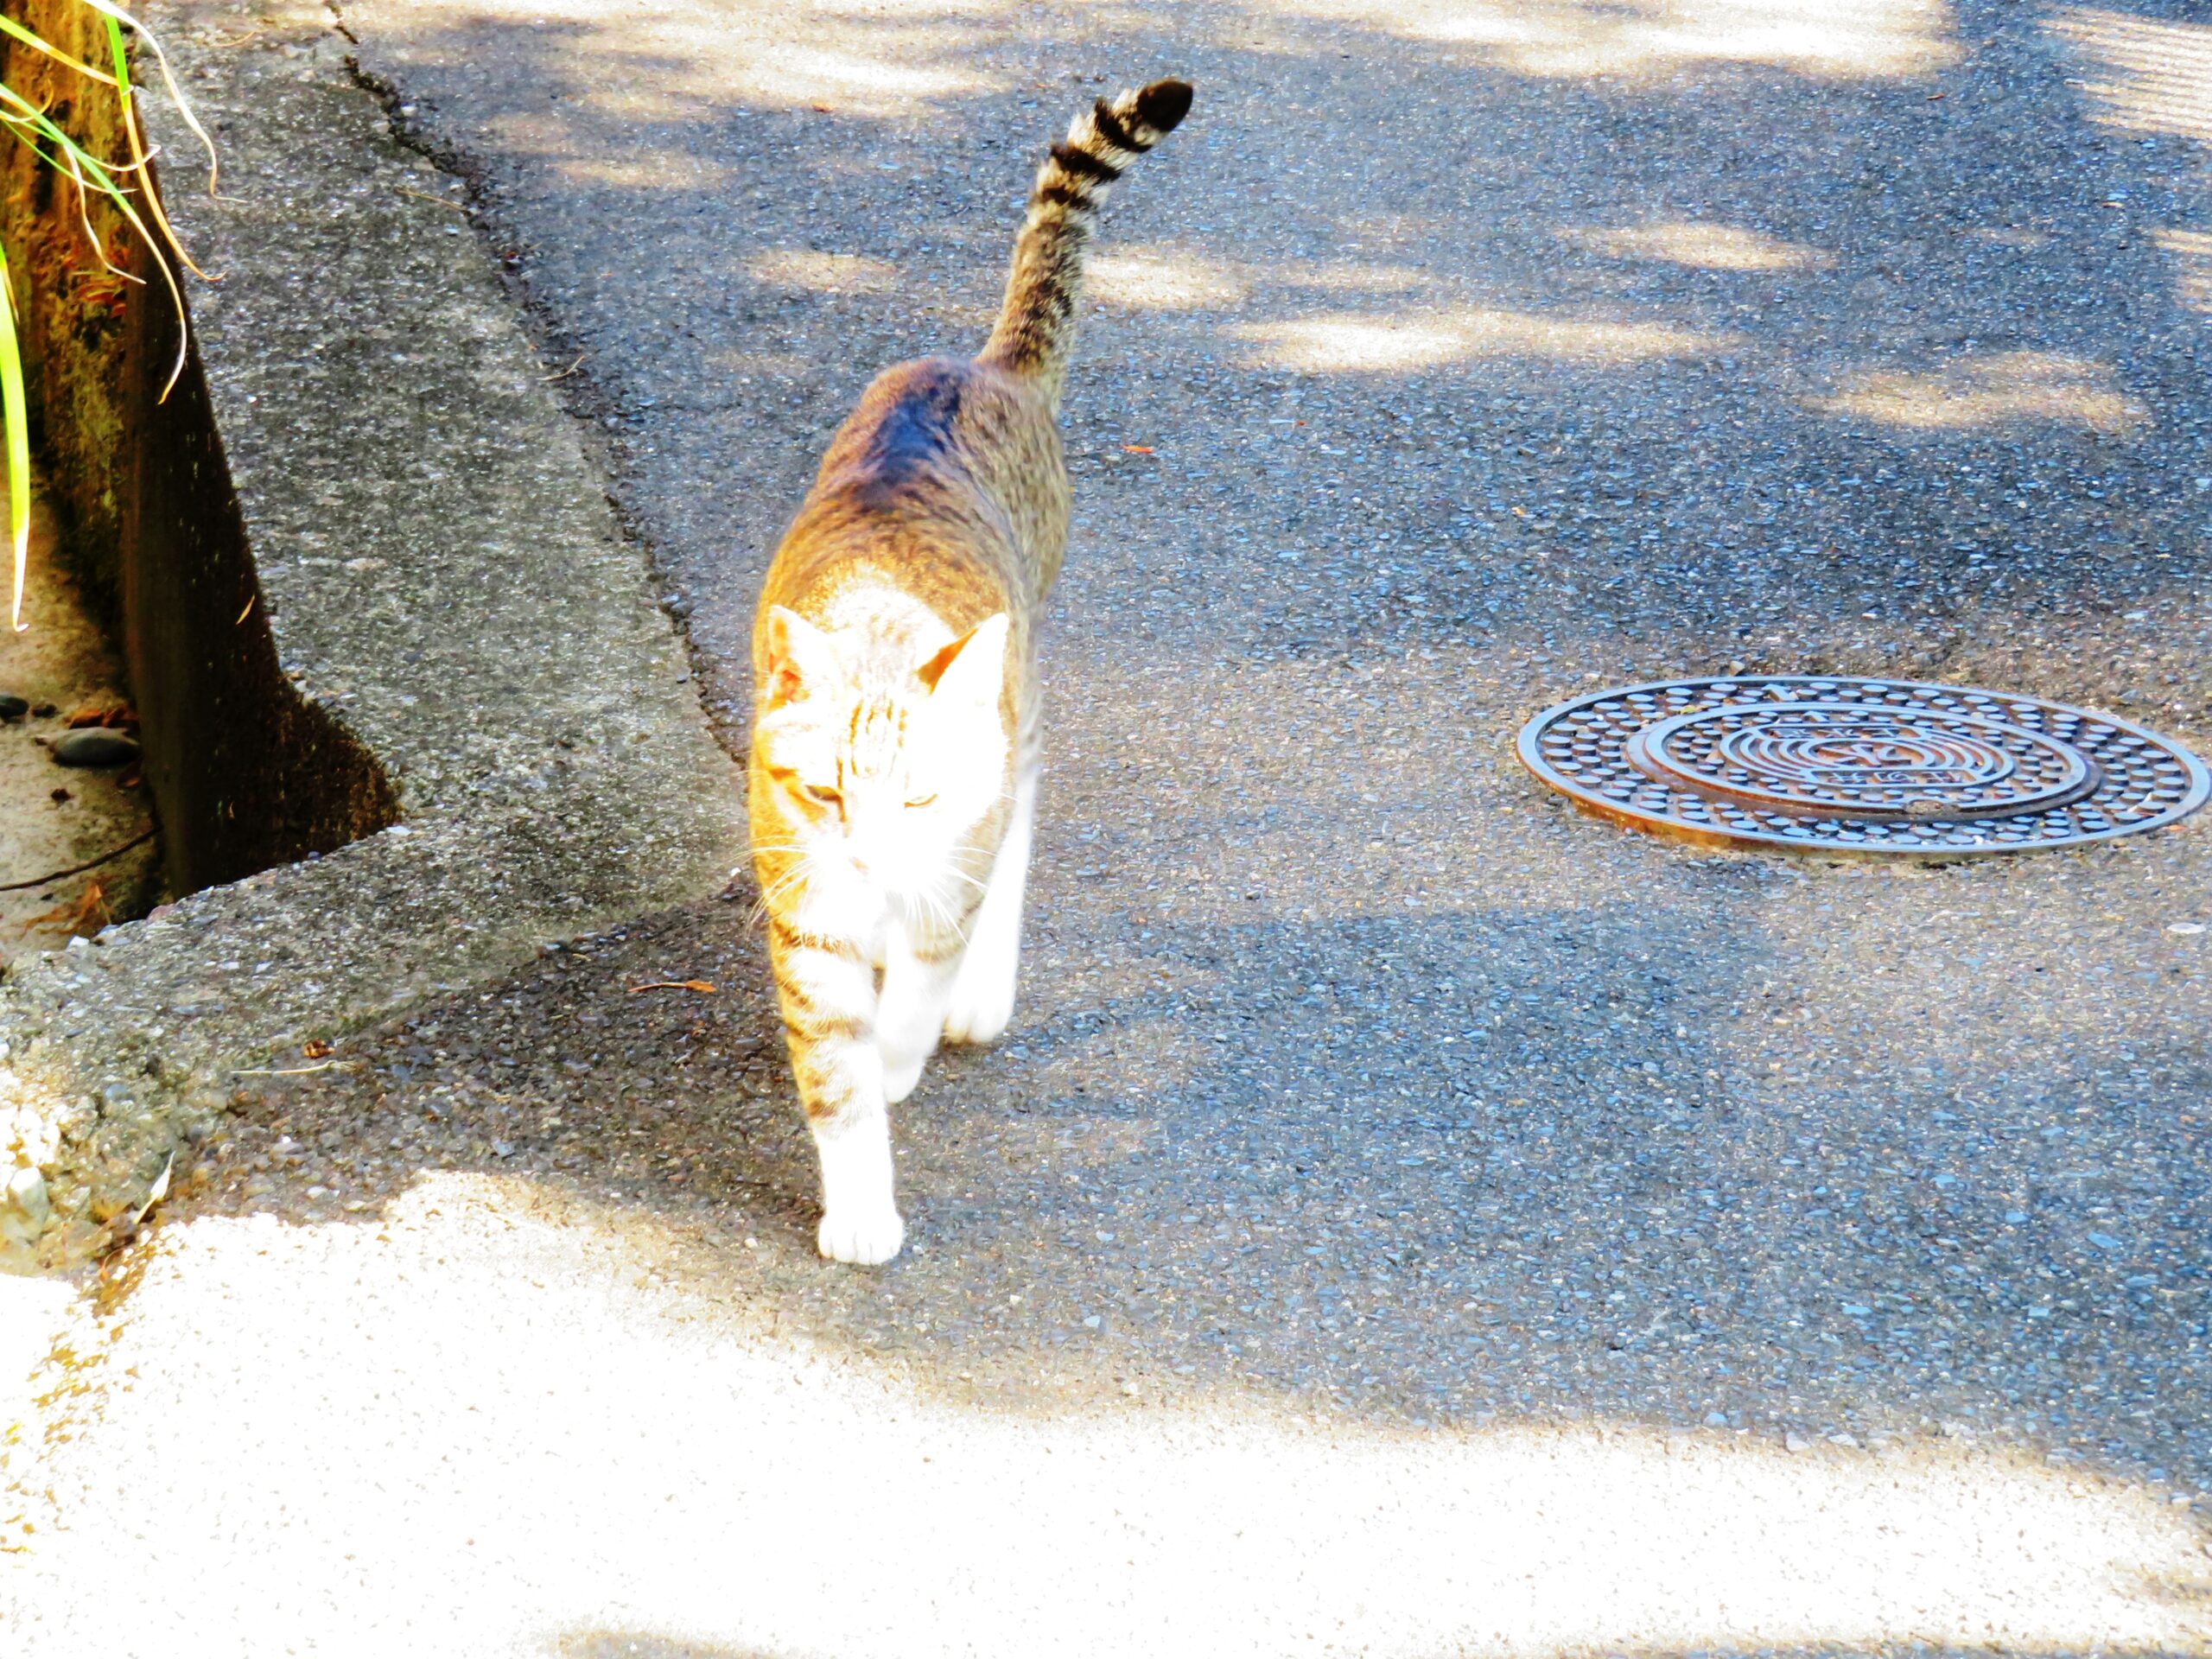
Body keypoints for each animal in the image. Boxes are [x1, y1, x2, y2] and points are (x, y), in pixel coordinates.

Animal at [743, 84, 1194, 1265]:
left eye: (916, 796)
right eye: (823, 793)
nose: (871, 859)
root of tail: (984, 368)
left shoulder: (952, 853)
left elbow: (925, 965)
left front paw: (903, 1050)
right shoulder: (804, 903)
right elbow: (835, 1069)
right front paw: (860, 1196)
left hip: (1019, 704)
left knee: (1018, 831)